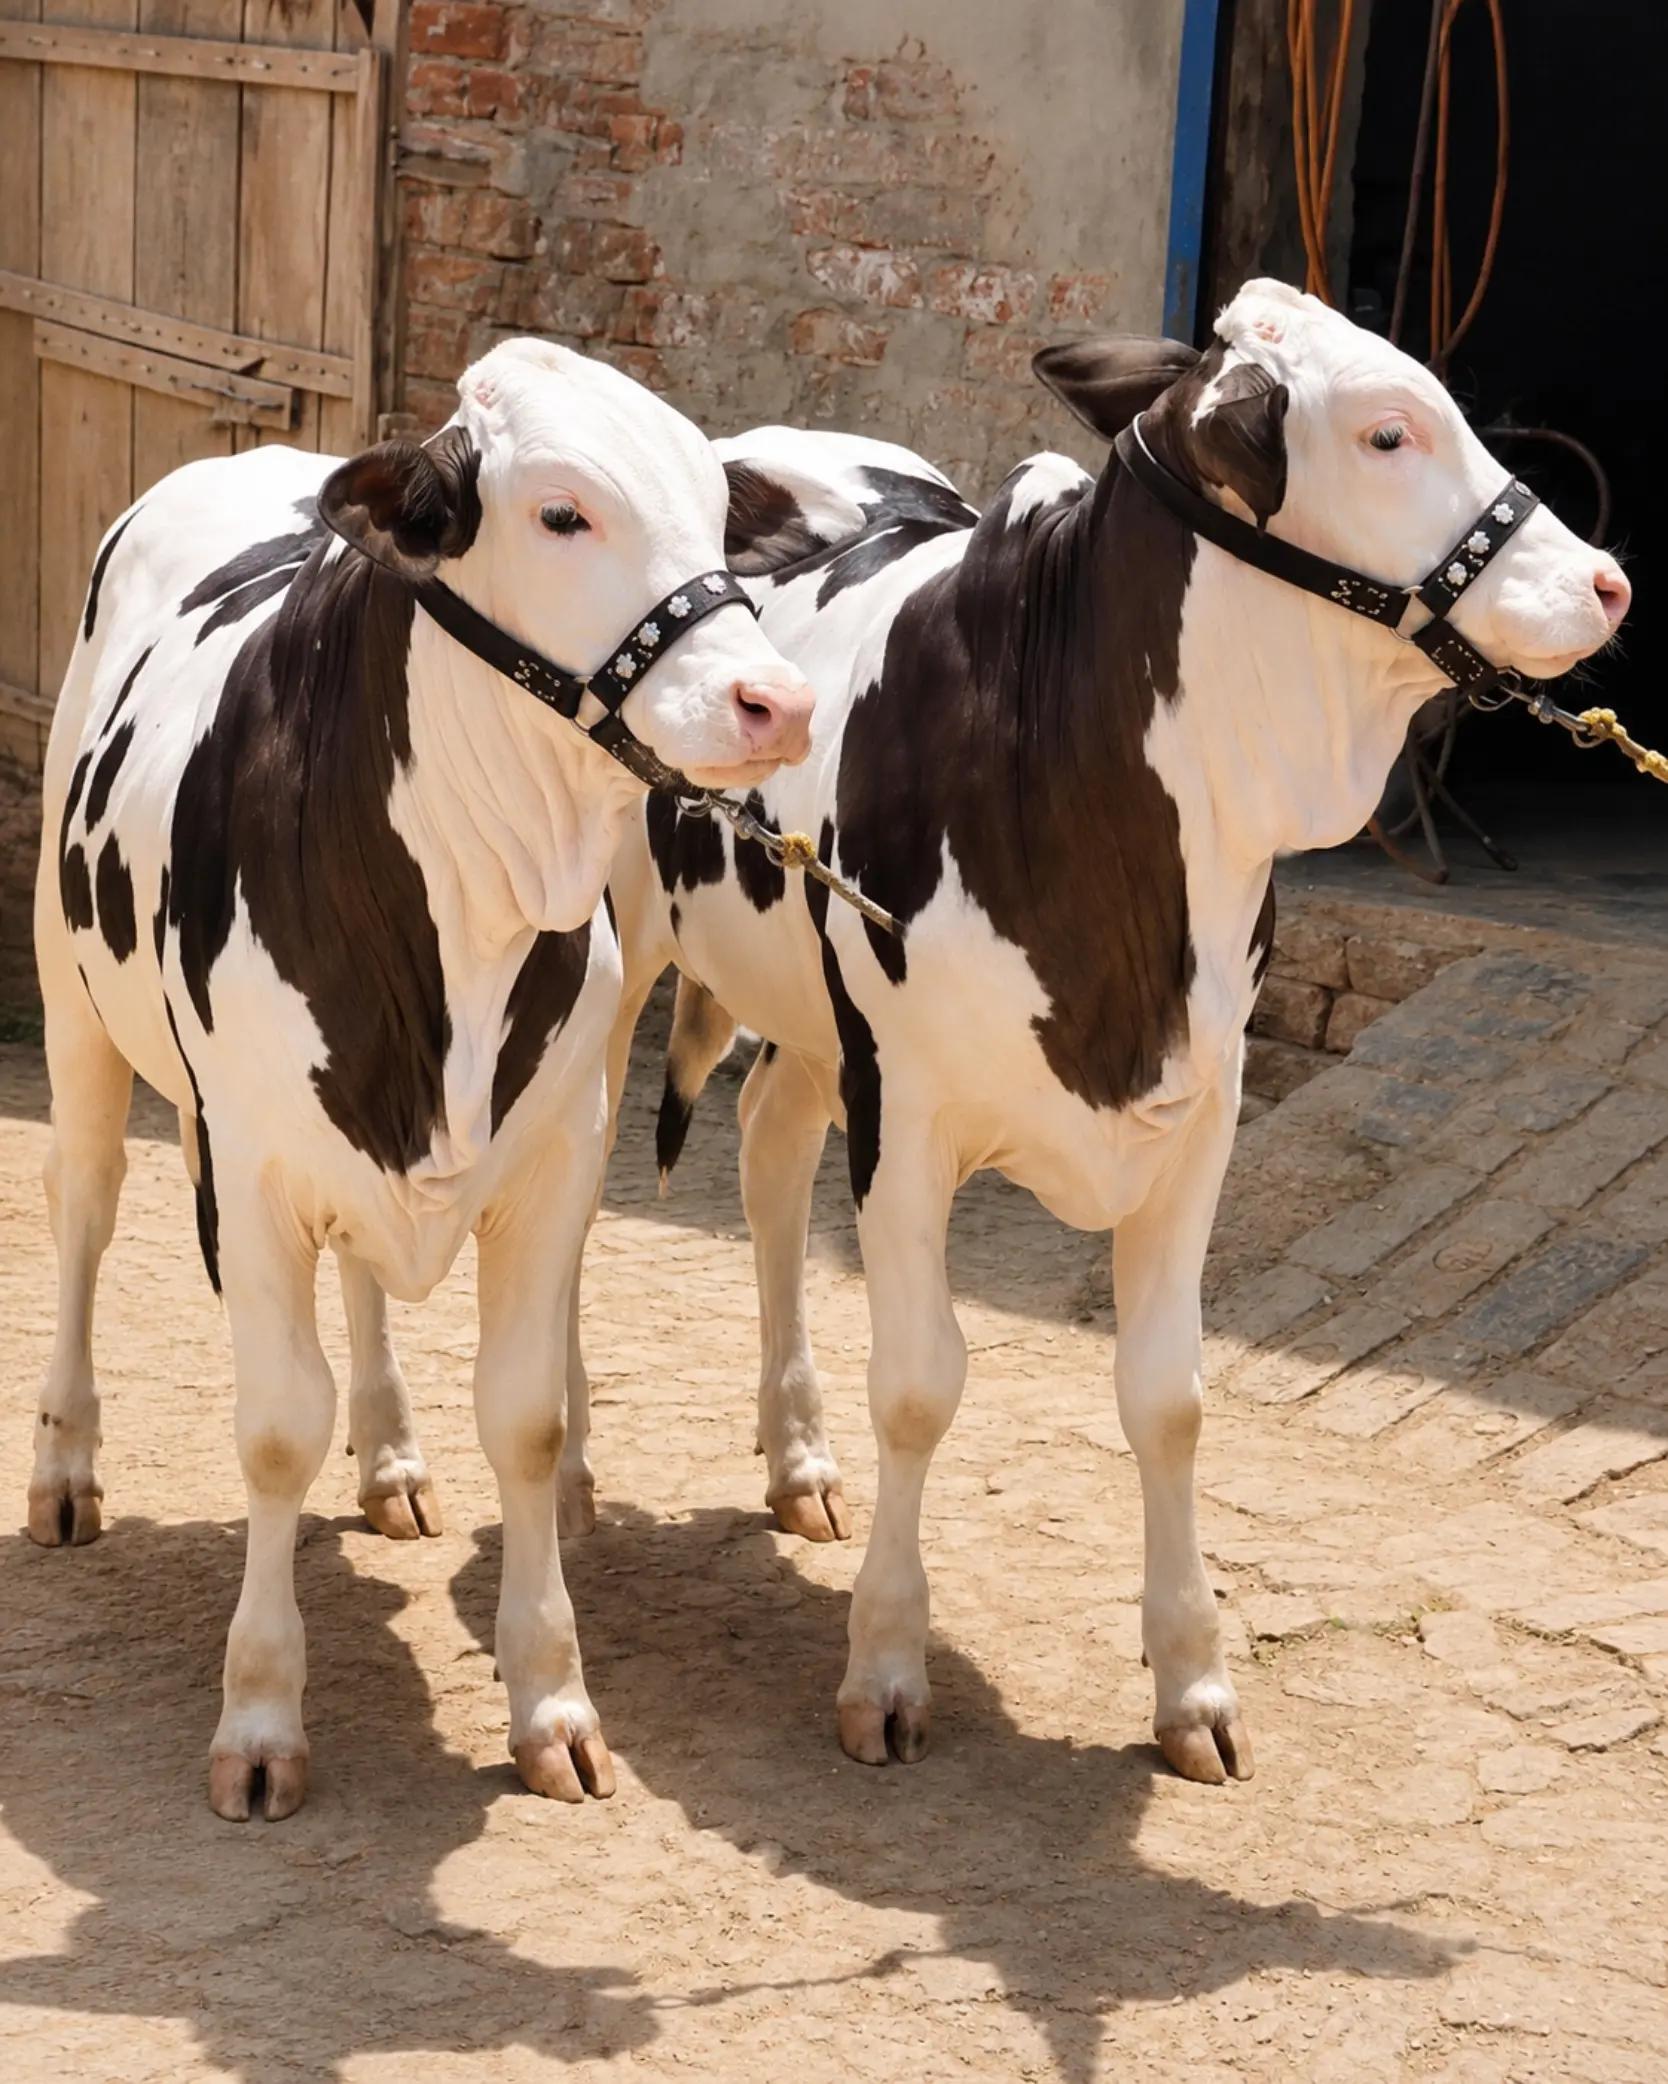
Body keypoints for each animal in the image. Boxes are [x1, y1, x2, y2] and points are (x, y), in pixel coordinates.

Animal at [27, 337, 815, 1819]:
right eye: (561, 513)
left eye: (712, 509)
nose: (779, 700)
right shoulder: (251, 1165)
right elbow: (276, 1429)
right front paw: (260, 1717)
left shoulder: (557, 1158)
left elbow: (527, 1422)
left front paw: (553, 1702)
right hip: (73, 1010)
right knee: (83, 1219)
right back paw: (60, 1467)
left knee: (361, 1281)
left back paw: (390, 1454)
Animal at [582, 280, 1630, 1784]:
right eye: (1387, 430)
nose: (1605, 581)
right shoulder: (910, 1111)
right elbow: (920, 1384)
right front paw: (885, 1663)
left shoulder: (1203, 1105)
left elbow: (1168, 1394)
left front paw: (1194, 1684)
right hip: (620, 956)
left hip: (809, 1020)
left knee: (770, 1153)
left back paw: (799, 1463)